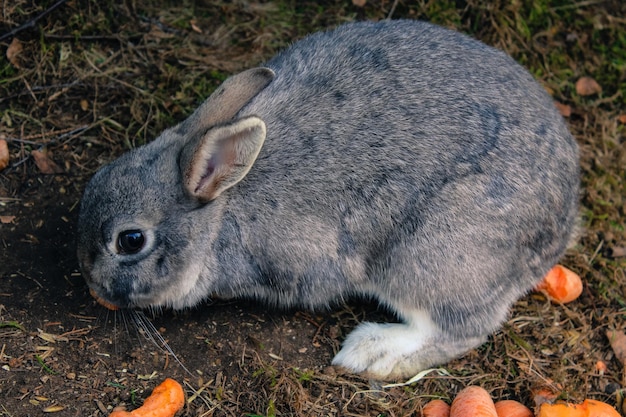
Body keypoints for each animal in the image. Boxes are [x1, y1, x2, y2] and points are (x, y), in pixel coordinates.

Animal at [77, 19, 576, 378]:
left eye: (130, 240)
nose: (92, 285)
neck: (221, 211)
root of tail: (560, 227)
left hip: (429, 257)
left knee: (460, 327)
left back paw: (373, 354)